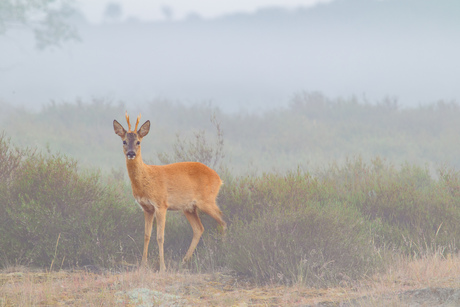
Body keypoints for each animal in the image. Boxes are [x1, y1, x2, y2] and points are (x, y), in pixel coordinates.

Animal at [112, 112, 226, 272]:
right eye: (124, 141)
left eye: (138, 142)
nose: (131, 153)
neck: (146, 179)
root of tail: (218, 178)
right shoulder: (147, 208)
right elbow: (146, 235)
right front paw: (142, 265)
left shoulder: (161, 204)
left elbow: (160, 237)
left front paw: (162, 267)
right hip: (189, 208)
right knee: (199, 228)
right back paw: (184, 261)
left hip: (207, 200)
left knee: (222, 220)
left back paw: (222, 252)